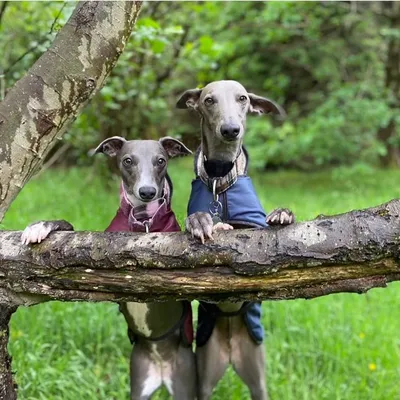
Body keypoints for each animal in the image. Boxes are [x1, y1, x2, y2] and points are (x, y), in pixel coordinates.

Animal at [21, 137, 197, 396]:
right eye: (128, 160)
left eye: (161, 161)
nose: (147, 192)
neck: (142, 222)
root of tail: (161, 370)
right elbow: (66, 225)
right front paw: (39, 227)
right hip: (138, 382)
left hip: (186, 383)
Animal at [177, 79, 296, 400]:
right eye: (209, 100)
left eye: (242, 98)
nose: (231, 130)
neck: (220, 178)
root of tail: (231, 352)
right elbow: (198, 221)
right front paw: (203, 221)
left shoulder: (253, 223)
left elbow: (259, 225)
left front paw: (283, 213)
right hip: (205, 372)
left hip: (257, 376)